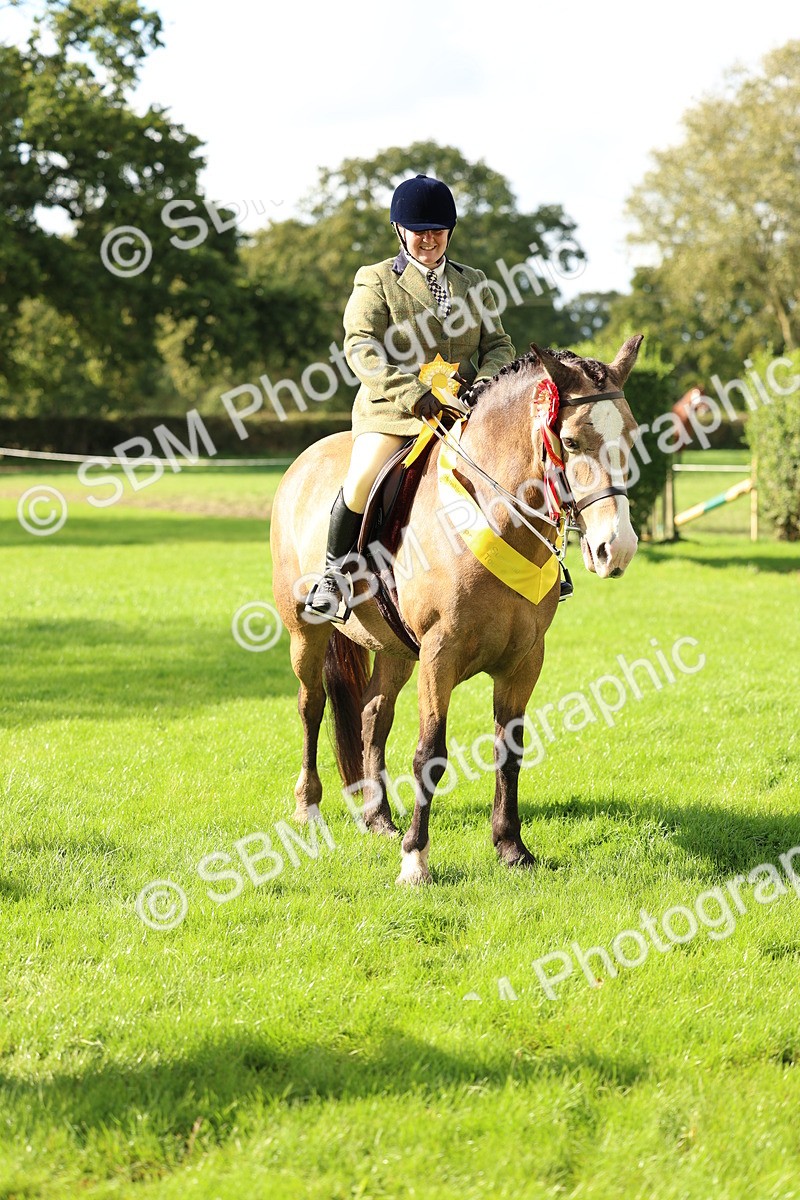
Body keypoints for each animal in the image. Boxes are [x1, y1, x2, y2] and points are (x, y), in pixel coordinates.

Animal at [270, 335, 644, 885]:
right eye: (572, 443)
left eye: (632, 437)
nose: (614, 549)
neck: (494, 513)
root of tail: (307, 458)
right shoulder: (439, 654)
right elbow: (430, 753)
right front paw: (415, 861)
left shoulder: (524, 660)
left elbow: (509, 750)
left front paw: (511, 848)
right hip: (307, 631)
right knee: (310, 705)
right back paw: (309, 807)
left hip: (396, 649)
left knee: (371, 715)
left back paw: (378, 819)